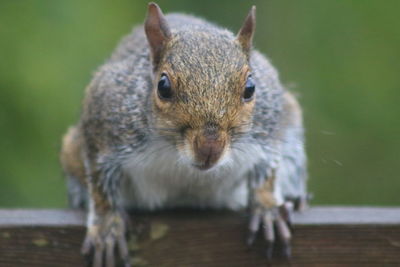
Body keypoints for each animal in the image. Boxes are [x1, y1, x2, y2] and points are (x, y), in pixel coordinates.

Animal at [61, 2, 308, 267]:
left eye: (250, 88)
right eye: (163, 86)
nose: (210, 147)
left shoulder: (269, 130)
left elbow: (267, 170)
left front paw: (267, 208)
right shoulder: (104, 125)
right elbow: (101, 184)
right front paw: (107, 227)